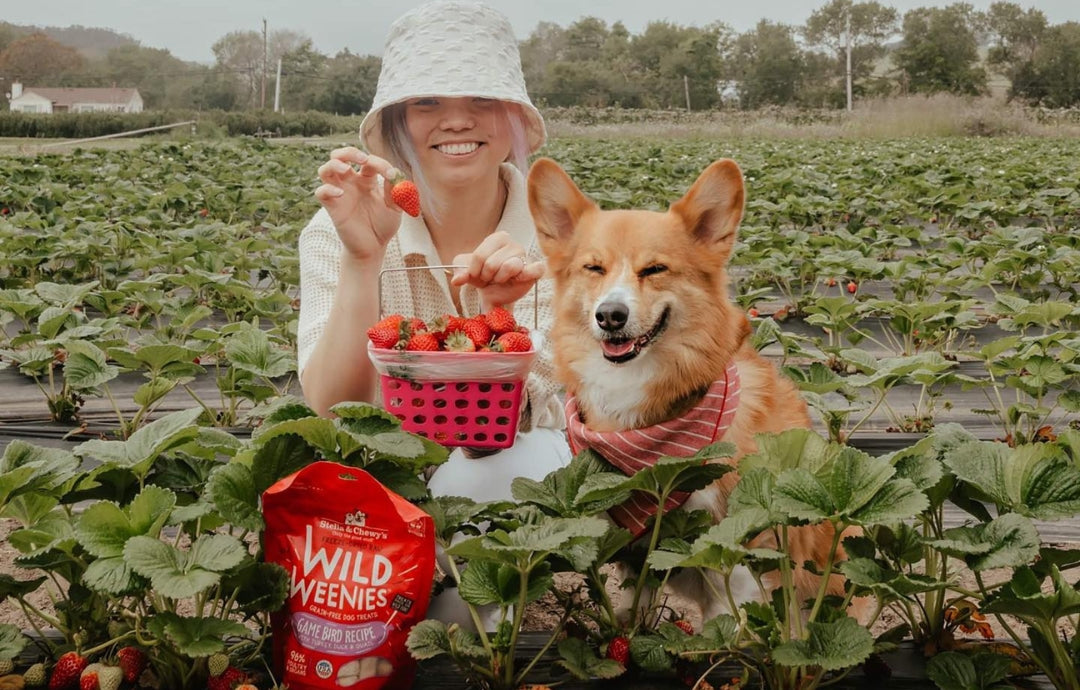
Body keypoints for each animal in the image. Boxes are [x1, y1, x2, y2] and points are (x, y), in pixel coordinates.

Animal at [524, 159, 851, 621]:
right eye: (594, 268)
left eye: (654, 270)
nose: (610, 315)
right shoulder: (636, 553)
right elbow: (633, 616)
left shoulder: (731, 558)